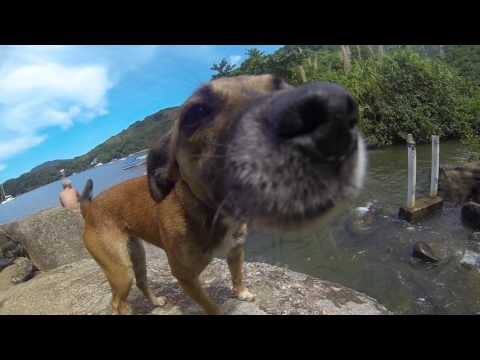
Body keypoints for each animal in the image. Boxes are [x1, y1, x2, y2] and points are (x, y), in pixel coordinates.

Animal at [80, 74, 366, 316]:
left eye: (283, 86)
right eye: (195, 113)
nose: (332, 111)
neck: (209, 213)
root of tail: (89, 208)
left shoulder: (236, 250)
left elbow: (237, 275)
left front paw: (241, 293)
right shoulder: (186, 277)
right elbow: (210, 305)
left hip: (136, 258)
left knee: (141, 282)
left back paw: (156, 301)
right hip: (120, 270)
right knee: (117, 302)